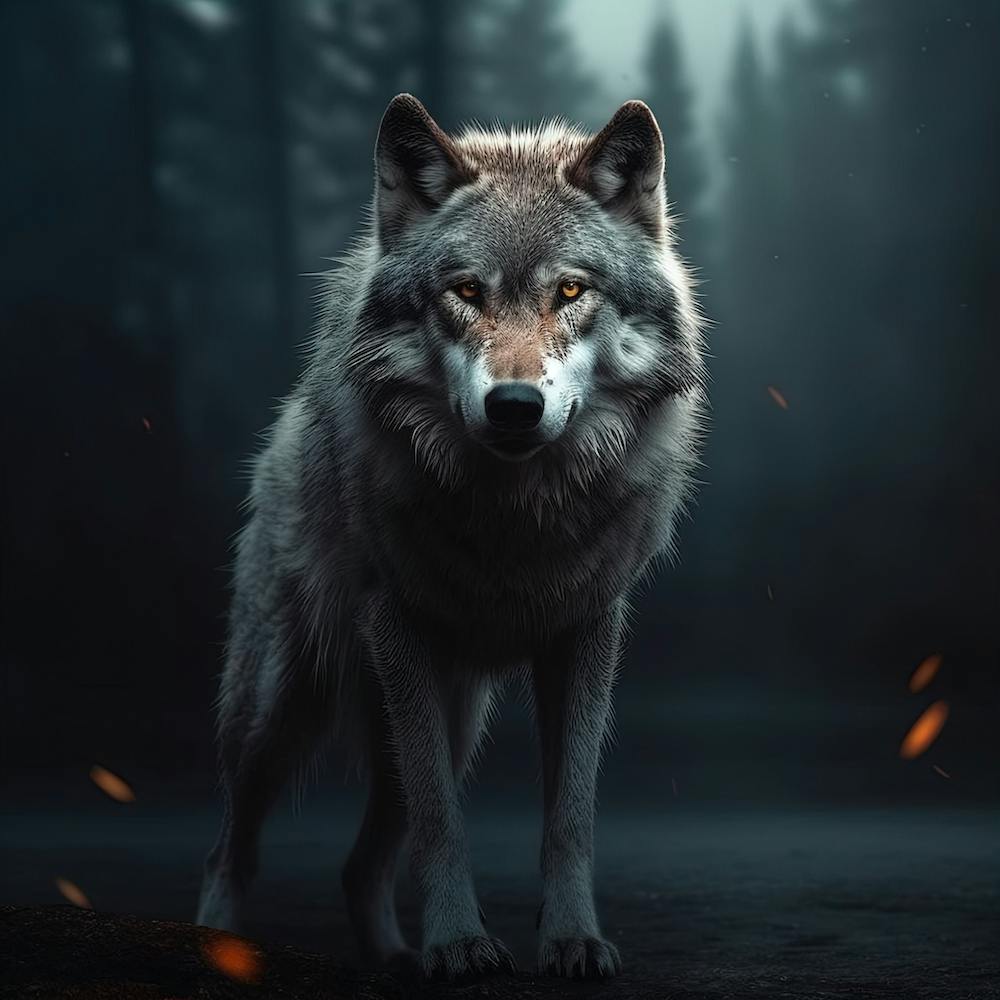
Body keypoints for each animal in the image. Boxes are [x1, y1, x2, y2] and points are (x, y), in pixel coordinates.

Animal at [196, 93, 706, 981]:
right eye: (465, 290)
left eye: (570, 289)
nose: (514, 406)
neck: (514, 518)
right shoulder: (395, 627)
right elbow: (443, 818)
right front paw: (459, 943)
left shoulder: (587, 633)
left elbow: (570, 813)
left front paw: (571, 939)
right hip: (277, 708)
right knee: (235, 843)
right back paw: (216, 944)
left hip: (451, 719)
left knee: (359, 864)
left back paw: (391, 957)